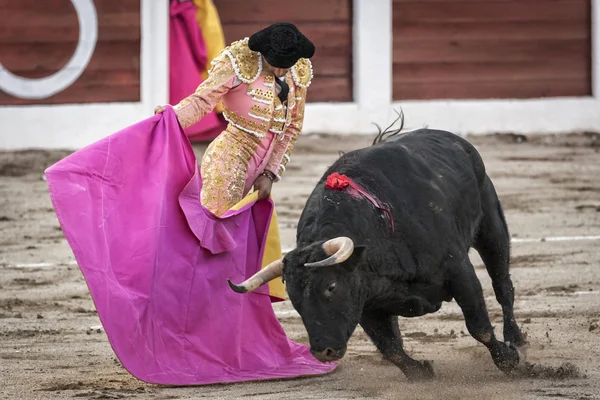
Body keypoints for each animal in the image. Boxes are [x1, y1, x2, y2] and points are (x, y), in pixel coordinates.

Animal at [227, 126, 528, 380]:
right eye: (293, 297)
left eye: (331, 286)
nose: (323, 352)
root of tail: (454, 140)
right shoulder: (367, 302)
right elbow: (390, 347)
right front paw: (421, 371)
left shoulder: (458, 270)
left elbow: (479, 326)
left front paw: (509, 360)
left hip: (491, 227)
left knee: (503, 286)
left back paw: (517, 339)